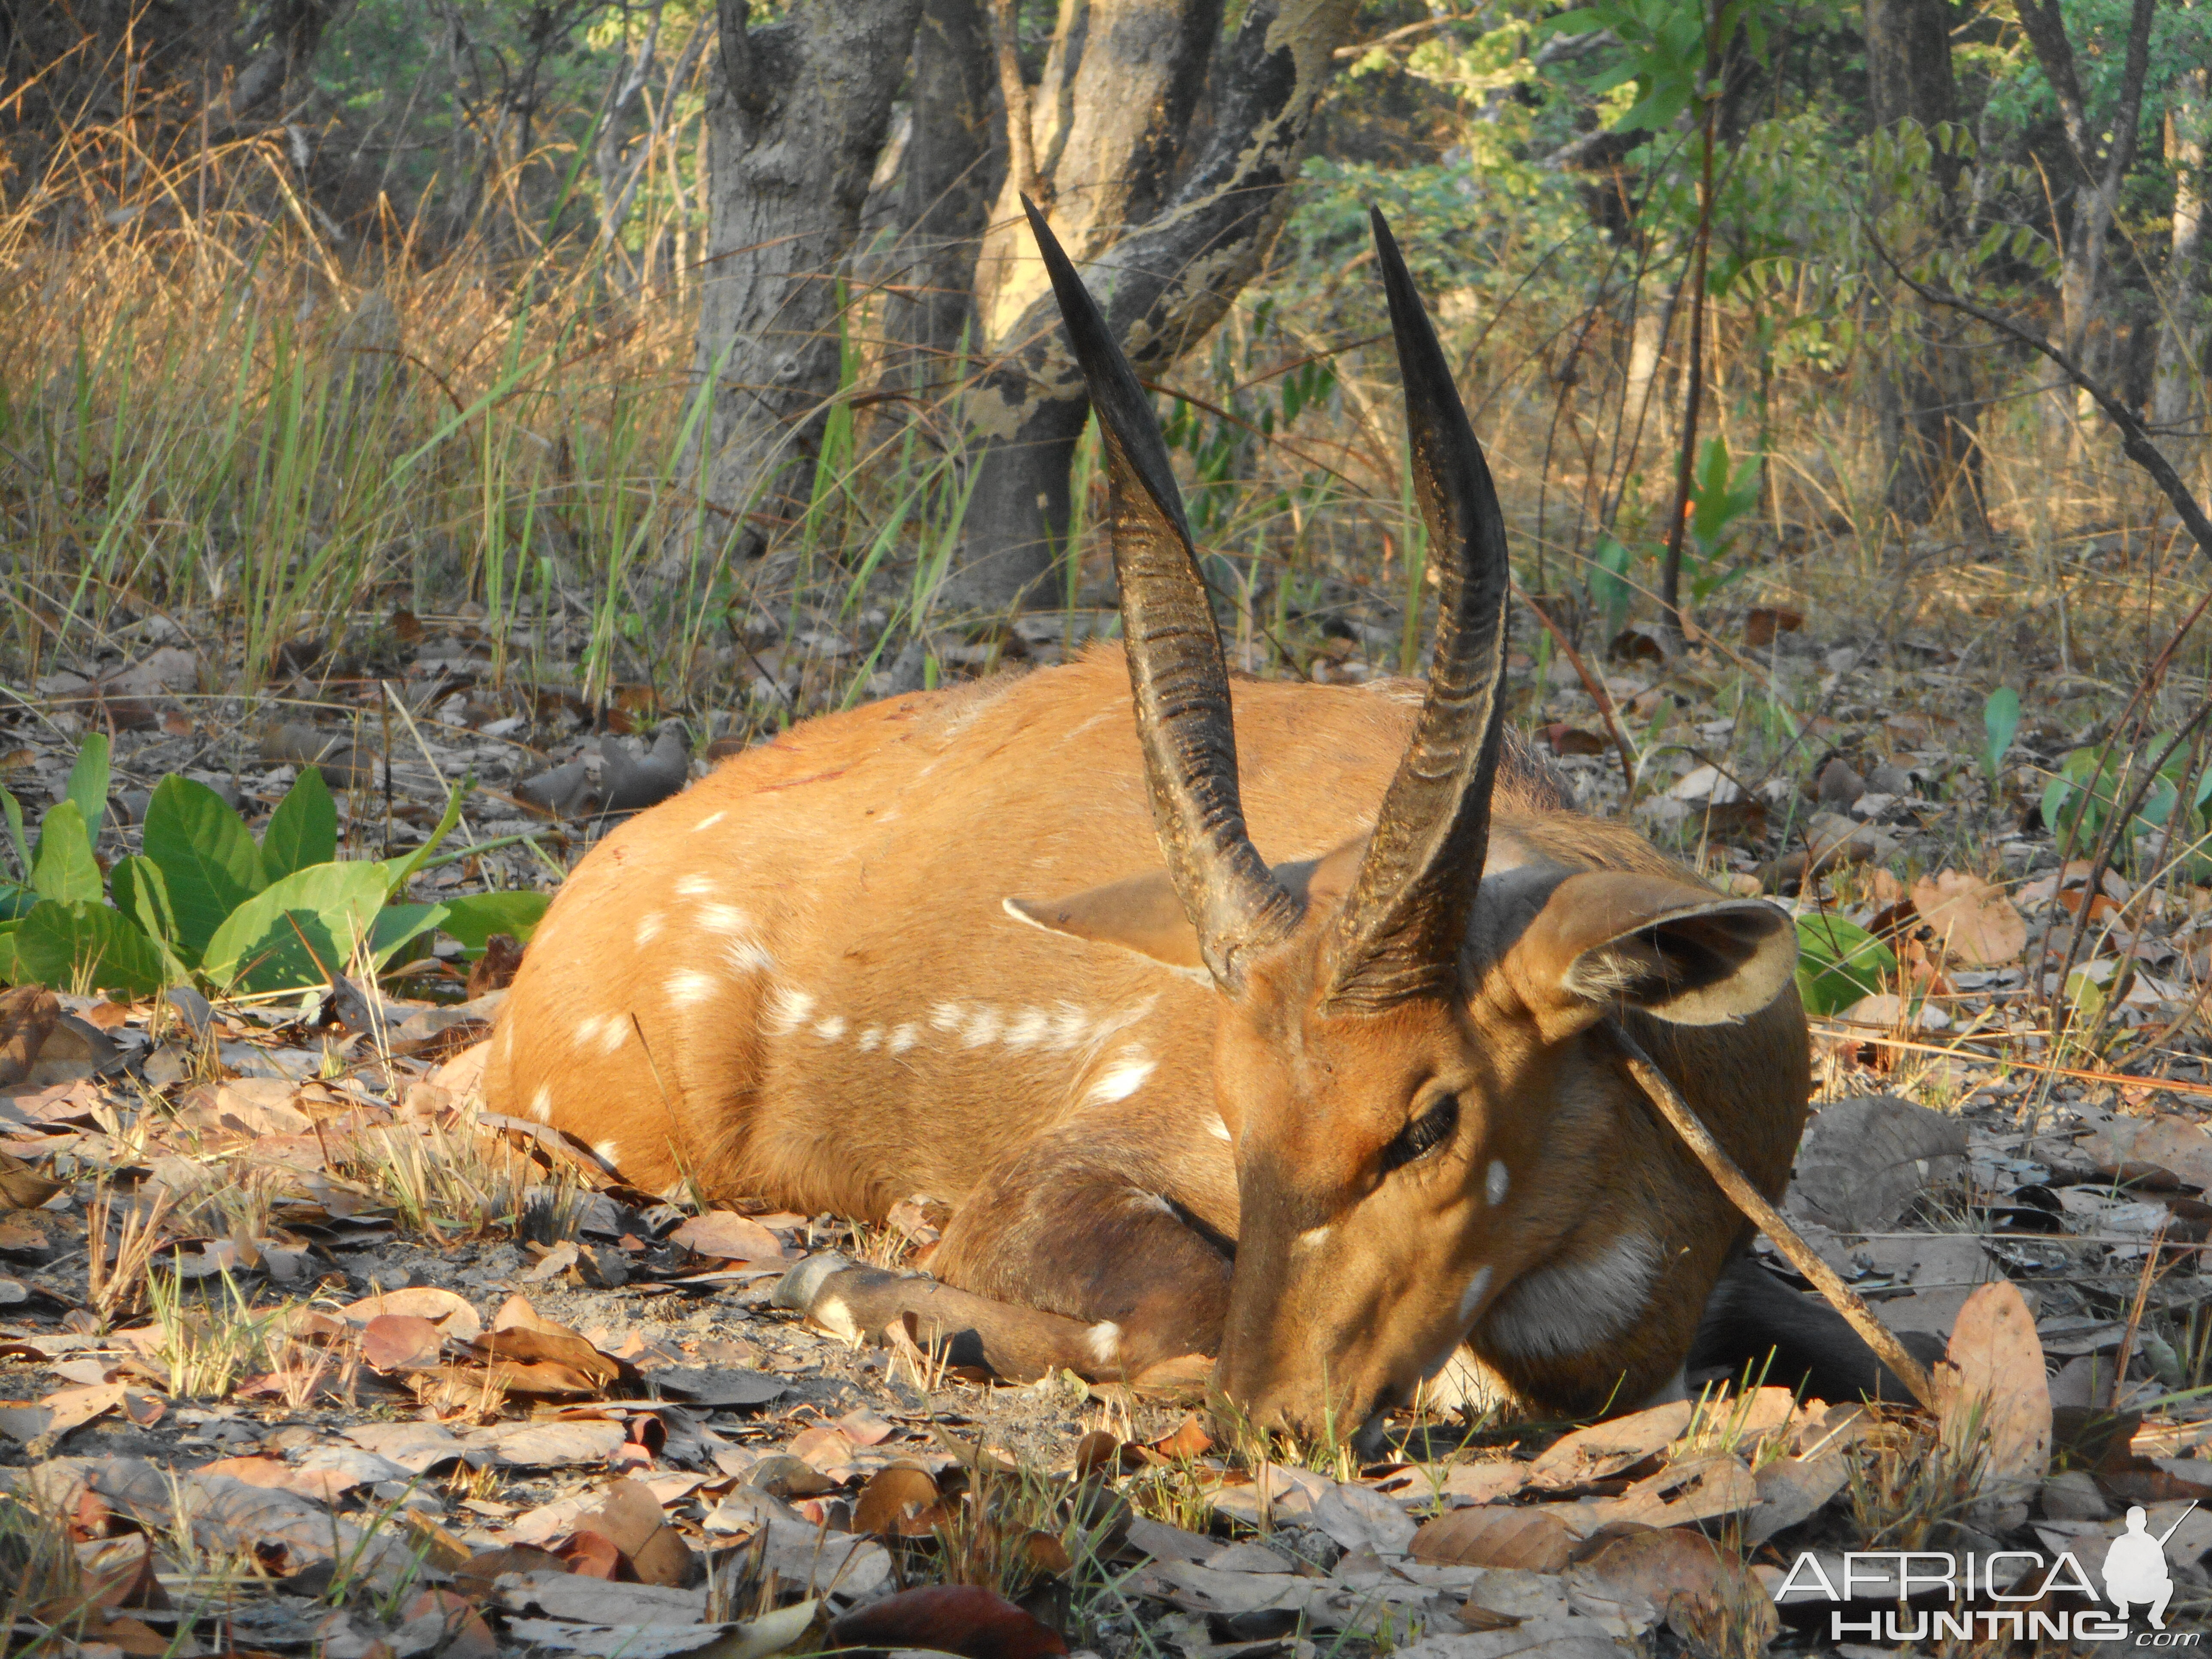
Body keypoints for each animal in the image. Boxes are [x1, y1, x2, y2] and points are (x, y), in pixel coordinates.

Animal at [489, 204, 1902, 1433]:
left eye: (1428, 1118)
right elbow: (1169, 1306)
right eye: (1235, 1096)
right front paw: (843, 1287)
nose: (1274, 1416)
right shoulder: (1068, 1164)